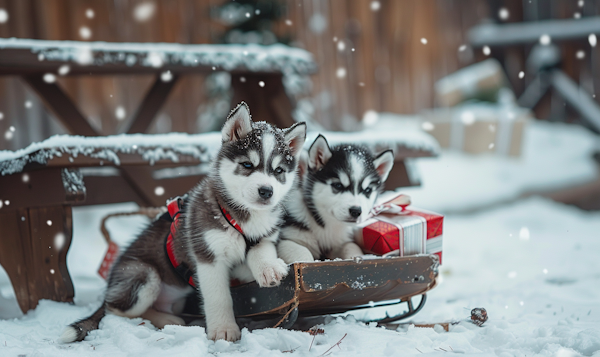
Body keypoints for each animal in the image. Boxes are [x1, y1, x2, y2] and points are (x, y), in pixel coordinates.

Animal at [61, 102, 308, 342]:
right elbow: (219, 296)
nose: (266, 191)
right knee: (115, 311)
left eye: (278, 171)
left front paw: (269, 268)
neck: (241, 217)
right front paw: (224, 329)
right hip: (143, 277)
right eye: (247, 165)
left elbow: (262, 249)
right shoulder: (207, 255)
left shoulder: (263, 238)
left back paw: (168, 319)